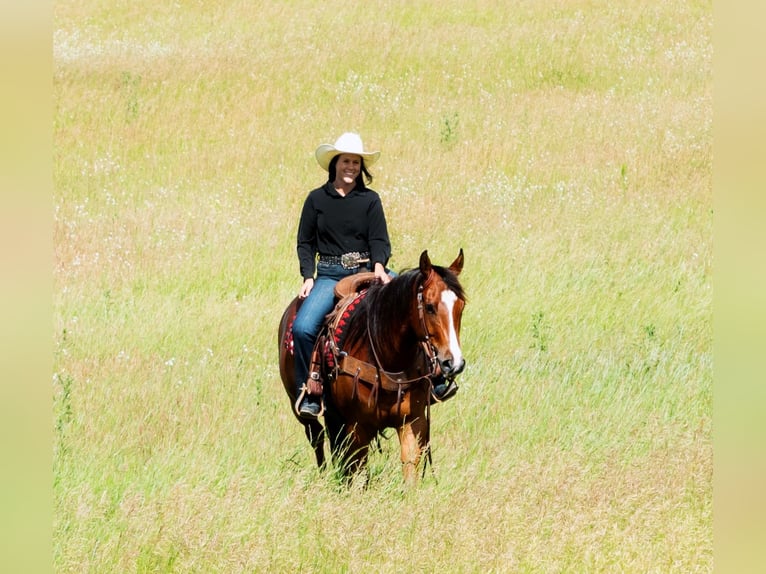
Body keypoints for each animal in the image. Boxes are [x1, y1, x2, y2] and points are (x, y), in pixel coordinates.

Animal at [278, 249, 468, 486]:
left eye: (461, 306)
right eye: (430, 307)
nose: (454, 363)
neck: (387, 357)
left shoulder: (413, 420)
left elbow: (410, 466)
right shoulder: (357, 426)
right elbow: (357, 471)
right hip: (304, 411)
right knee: (318, 439)